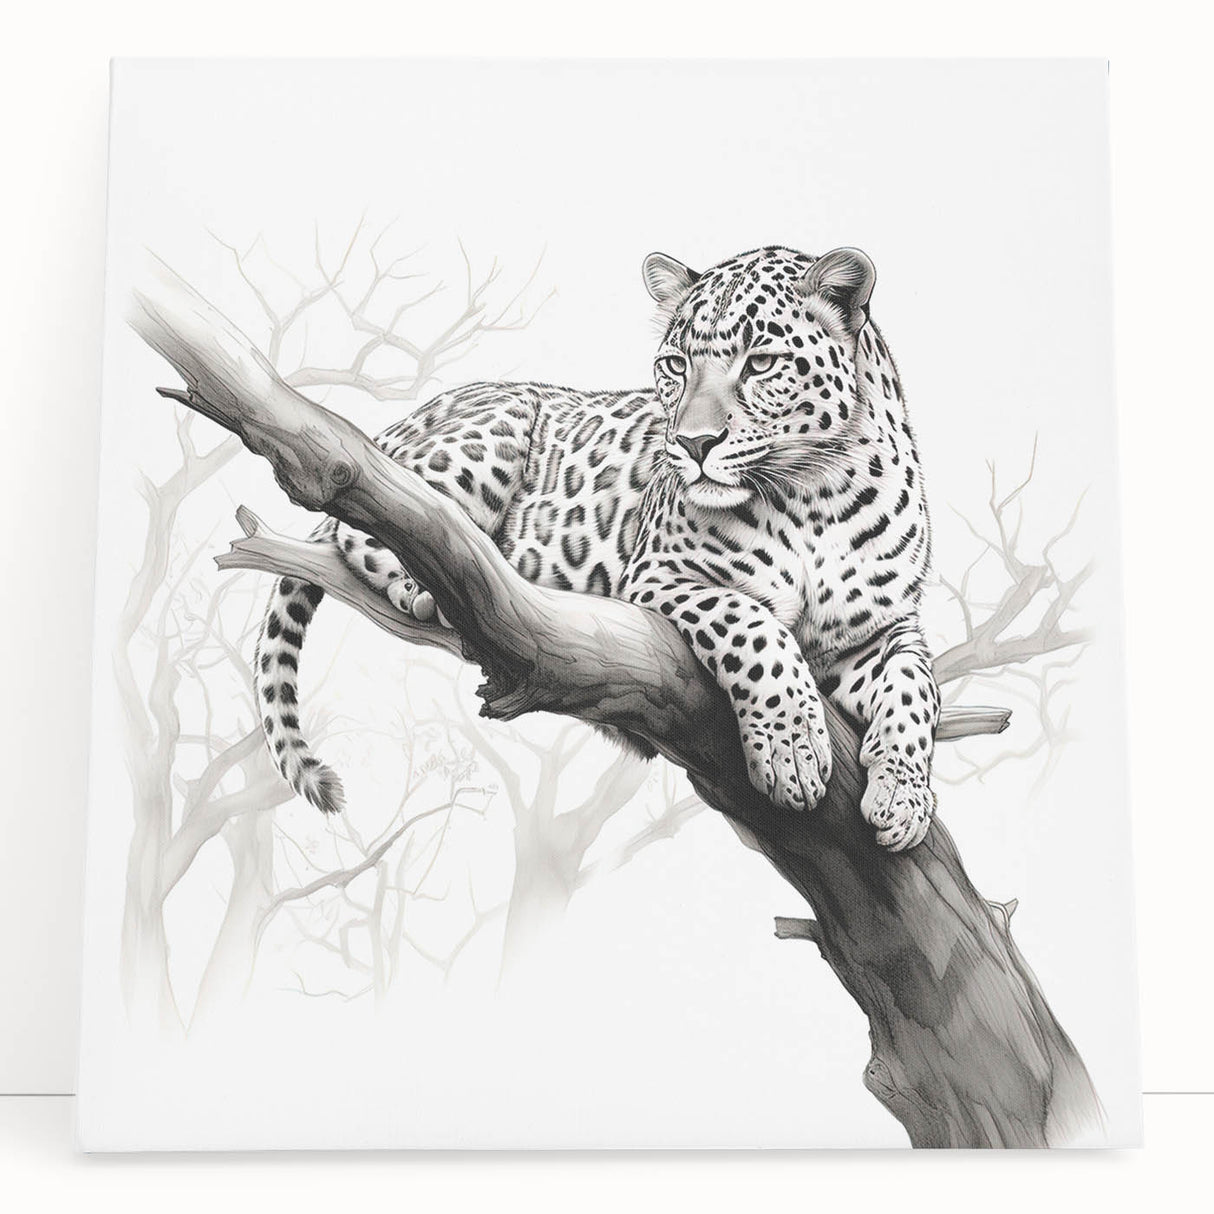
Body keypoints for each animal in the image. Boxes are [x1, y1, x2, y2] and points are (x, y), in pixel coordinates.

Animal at [255, 244, 941, 851]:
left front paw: (903, 799)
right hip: (487, 436)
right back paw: (427, 582)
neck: (814, 498)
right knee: (379, 516)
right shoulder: (661, 576)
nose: (693, 444)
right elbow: (754, 627)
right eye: (676, 366)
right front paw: (792, 750)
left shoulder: (881, 629)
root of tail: (402, 421)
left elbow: (917, 689)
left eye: (762, 363)